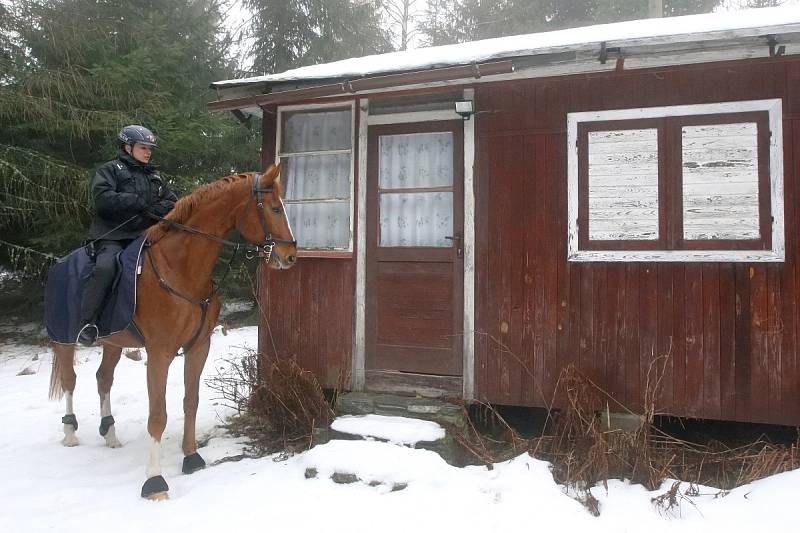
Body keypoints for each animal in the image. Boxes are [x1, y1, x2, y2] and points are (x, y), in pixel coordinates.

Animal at [47, 162, 296, 498]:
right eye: (274, 208)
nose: (291, 256)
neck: (180, 269)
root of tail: (58, 265)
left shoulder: (198, 347)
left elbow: (191, 402)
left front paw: (191, 457)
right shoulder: (159, 353)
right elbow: (158, 414)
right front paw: (154, 480)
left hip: (113, 342)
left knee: (103, 378)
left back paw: (110, 433)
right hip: (64, 339)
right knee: (70, 380)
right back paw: (70, 432)